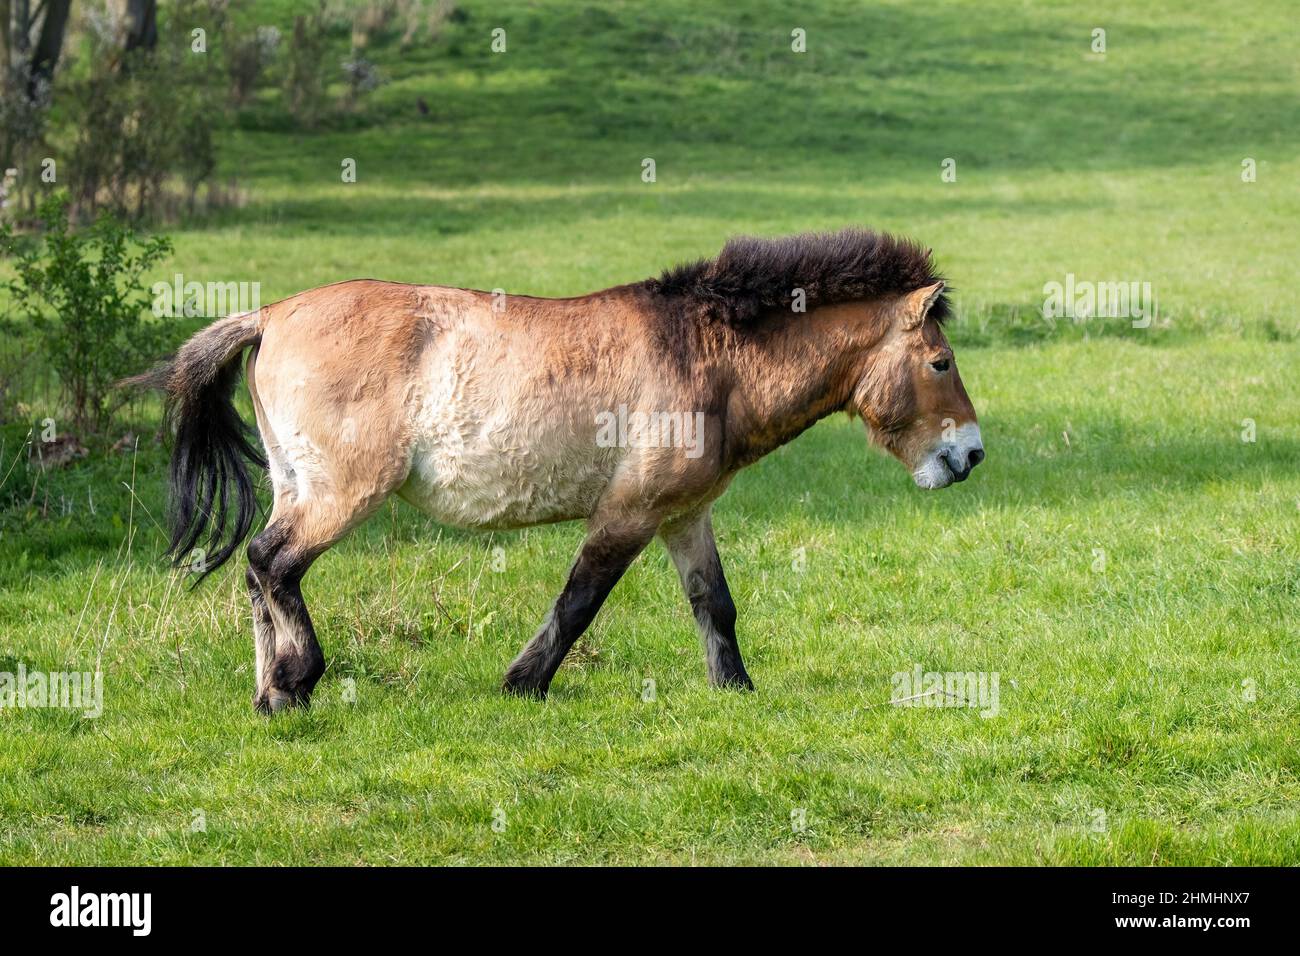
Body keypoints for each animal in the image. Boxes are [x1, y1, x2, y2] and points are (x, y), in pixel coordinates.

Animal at [134, 230, 982, 712]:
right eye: (940, 362)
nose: (970, 453)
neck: (708, 357)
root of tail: (269, 315)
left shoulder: (684, 515)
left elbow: (714, 604)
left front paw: (736, 689)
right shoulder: (628, 514)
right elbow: (578, 602)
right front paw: (524, 683)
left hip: (296, 488)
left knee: (258, 573)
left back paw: (270, 692)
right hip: (340, 495)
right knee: (273, 563)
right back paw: (296, 679)